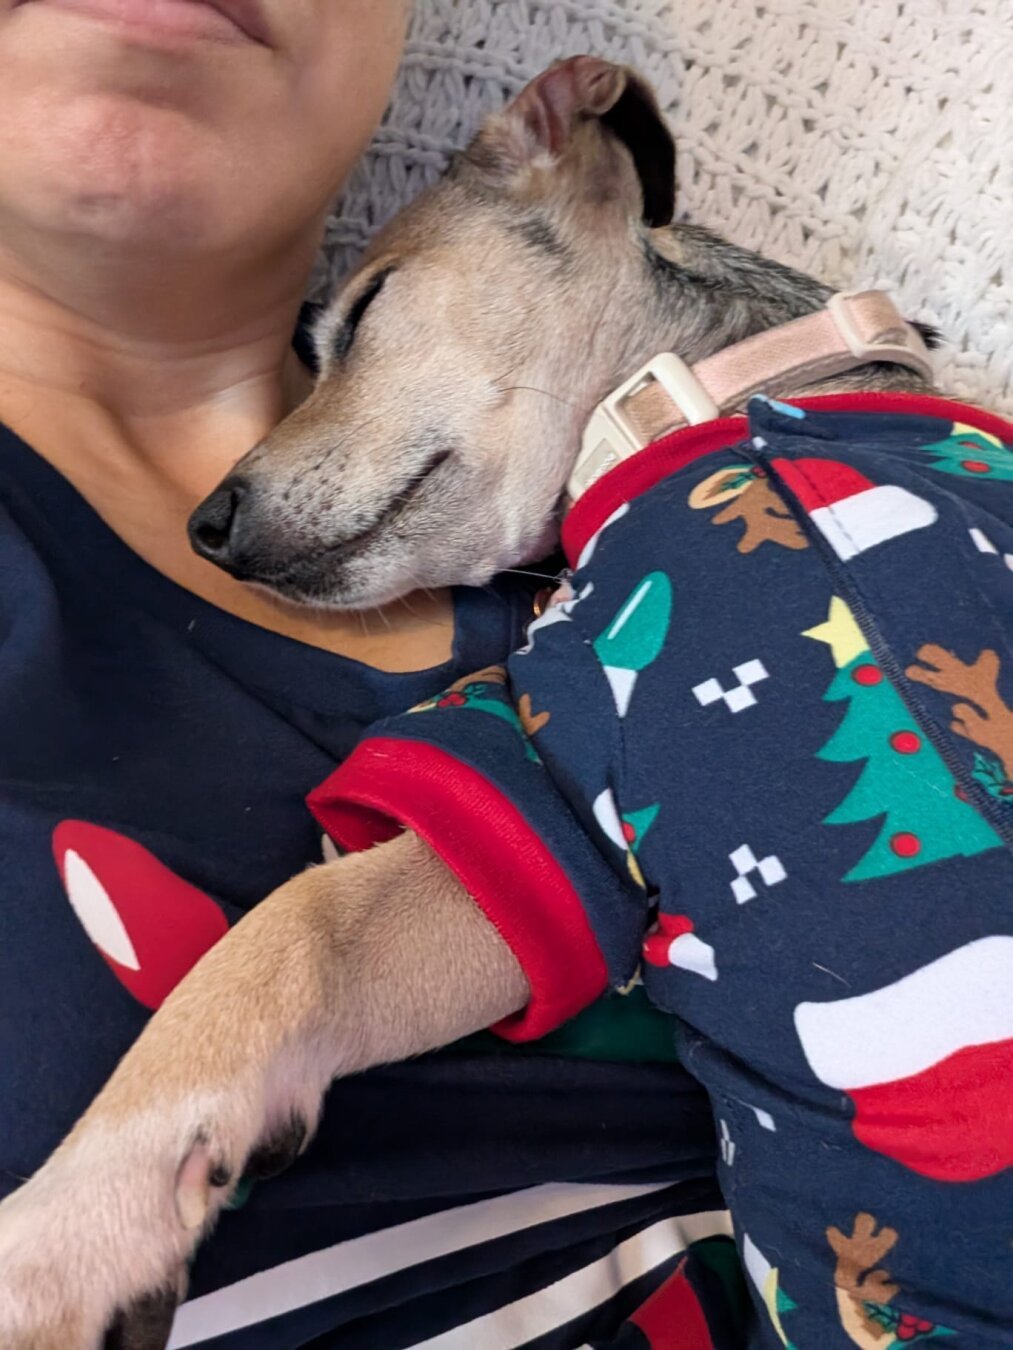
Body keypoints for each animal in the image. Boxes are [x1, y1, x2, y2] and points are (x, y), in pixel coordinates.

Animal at [1, 55, 1013, 1350]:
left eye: (366, 310)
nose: (206, 528)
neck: (719, 401)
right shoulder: (549, 825)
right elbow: (311, 933)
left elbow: (276, 929)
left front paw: (53, 1243)